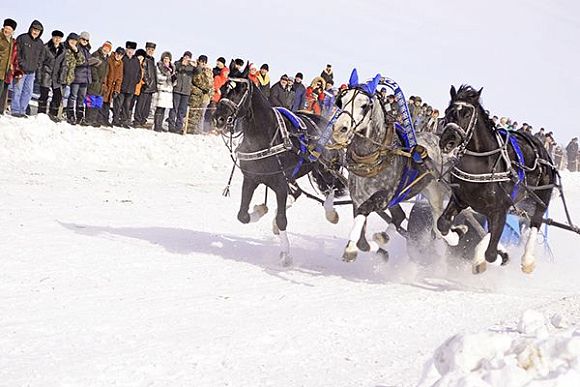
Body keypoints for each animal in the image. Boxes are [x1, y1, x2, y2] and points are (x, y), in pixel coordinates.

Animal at [214, 65, 346, 266]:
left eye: (241, 90)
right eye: (222, 88)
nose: (218, 118)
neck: (268, 136)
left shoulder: (280, 183)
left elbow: (283, 219)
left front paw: (286, 254)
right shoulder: (252, 178)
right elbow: (243, 216)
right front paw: (259, 211)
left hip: (325, 167)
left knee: (330, 186)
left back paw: (330, 212)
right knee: (298, 193)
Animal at [438, 86, 556, 276]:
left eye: (466, 114)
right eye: (448, 112)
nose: (447, 142)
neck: (481, 166)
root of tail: (541, 147)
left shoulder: (500, 208)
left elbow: (491, 254)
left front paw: (501, 256)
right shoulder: (460, 199)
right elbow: (442, 223)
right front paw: (458, 232)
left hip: (541, 197)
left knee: (535, 222)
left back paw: (527, 260)